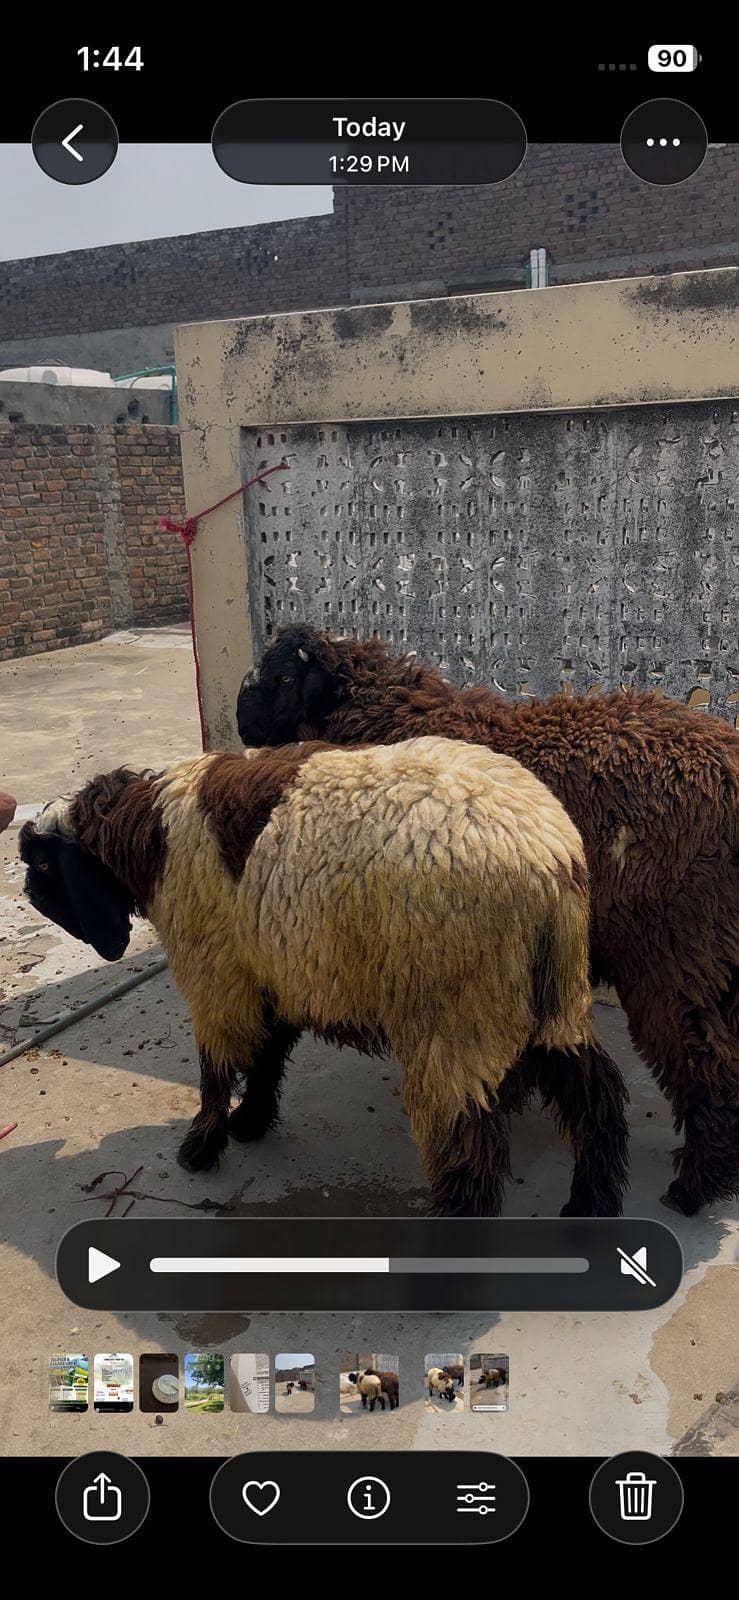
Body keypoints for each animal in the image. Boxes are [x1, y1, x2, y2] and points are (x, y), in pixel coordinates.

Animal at [19, 735, 628, 1216]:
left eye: (45, 864)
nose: (30, 897)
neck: (151, 835)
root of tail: (545, 856)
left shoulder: (216, 971)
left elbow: (216, 1068)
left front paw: (201, 1148)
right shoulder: (272, 966)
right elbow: (266, 1052)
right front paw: (251, 1122)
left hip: (453, 1007)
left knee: (469, 1143)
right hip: (552, 989)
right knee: (593, 1092)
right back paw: (588, 1205)